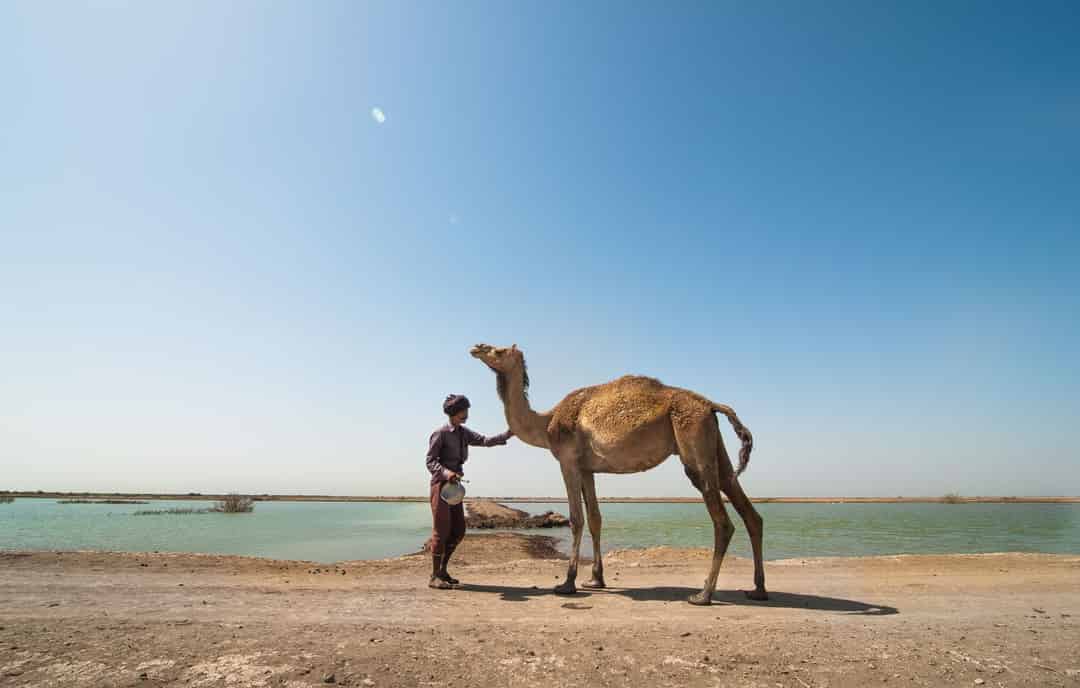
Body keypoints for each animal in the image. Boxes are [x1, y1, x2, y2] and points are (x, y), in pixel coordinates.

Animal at [470, 343, 767, 605]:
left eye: (499, 350)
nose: (477, 347)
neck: (546, 422)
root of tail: (711, 404)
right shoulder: (587, 468)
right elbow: (595, 519)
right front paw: (595, 580)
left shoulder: (567, 461)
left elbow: (576, 519)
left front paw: (567, 583)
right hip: (713, 443)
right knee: (748, 510)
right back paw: (758, 590)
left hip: (693, 439)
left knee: (722, 521)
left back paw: (703, 595)